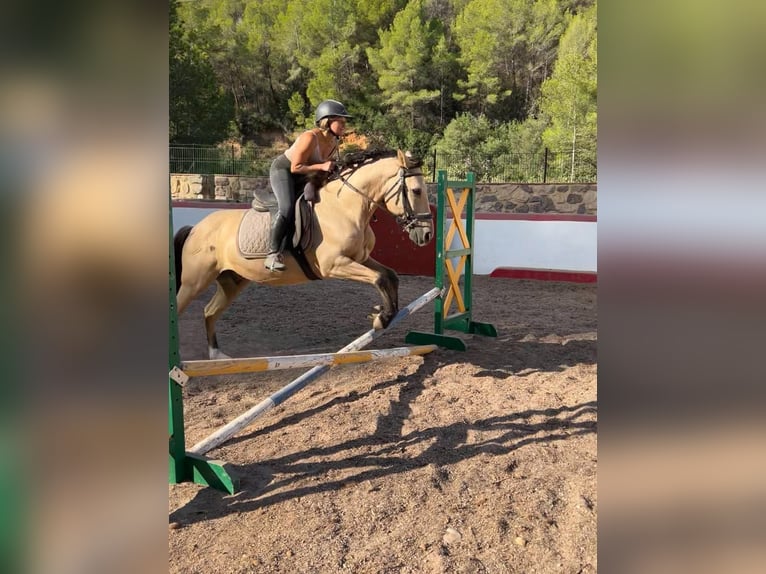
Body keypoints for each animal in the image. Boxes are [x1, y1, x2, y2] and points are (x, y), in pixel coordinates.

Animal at [174, 149, 434, 359]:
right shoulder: (334, 265)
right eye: (416, 190)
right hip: (195, 281)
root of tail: (195, 228)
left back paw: (216, 354)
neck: (345, 208)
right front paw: (382, 317)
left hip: (232, 282)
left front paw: (384, 314)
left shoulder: (360, 259)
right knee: (180, 308)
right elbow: (379, 278)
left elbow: (390, 275)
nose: (427, 235)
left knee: (209, 311)